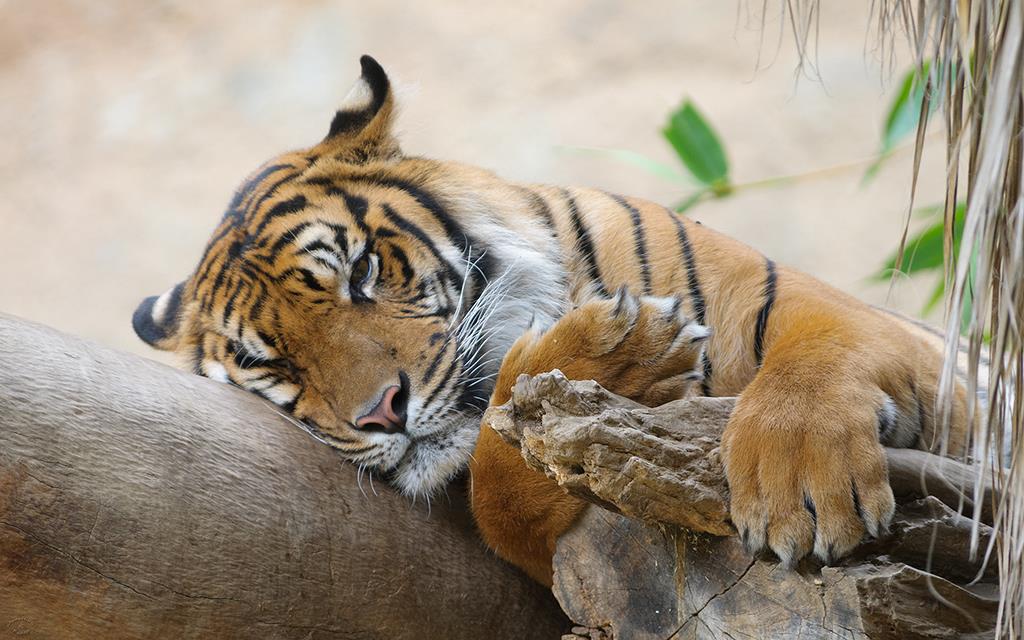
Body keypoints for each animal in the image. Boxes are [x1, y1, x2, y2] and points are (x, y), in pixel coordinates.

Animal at [134, 54, 966, 585]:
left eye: (361, 272)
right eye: (274, 363)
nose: (383, 413)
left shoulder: (811, 304)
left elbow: (816, 354)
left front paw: (799, 490)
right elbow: (499, 492)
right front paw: (619, 360)